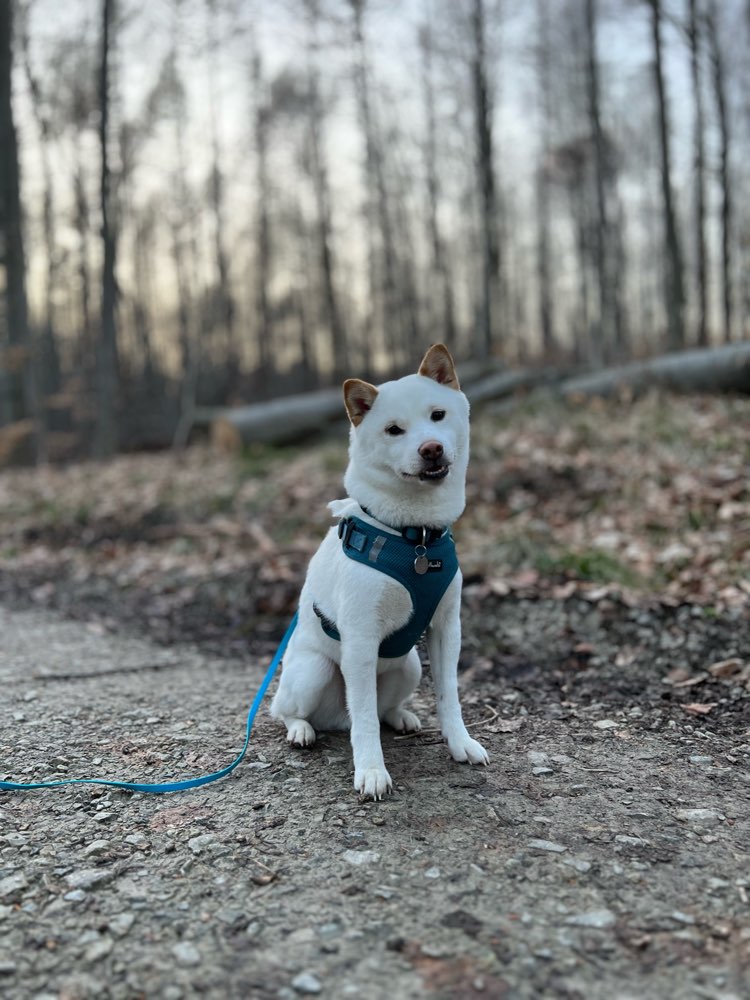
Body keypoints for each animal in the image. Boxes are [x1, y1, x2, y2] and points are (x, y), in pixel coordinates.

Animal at [268, 344, 488, 796]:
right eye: (393, 430)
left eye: (437, 415)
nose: (431, 449)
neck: (415, 536)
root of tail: (334, 719)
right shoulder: (360, 637)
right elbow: (365, 718)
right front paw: (370, 770)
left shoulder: (446, 628)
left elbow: (449, 696)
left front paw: (460, 743)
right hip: (314, 671)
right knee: (288, 710)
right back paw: (300, 730)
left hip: (409, 665)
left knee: (382, 708)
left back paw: (402, 717)